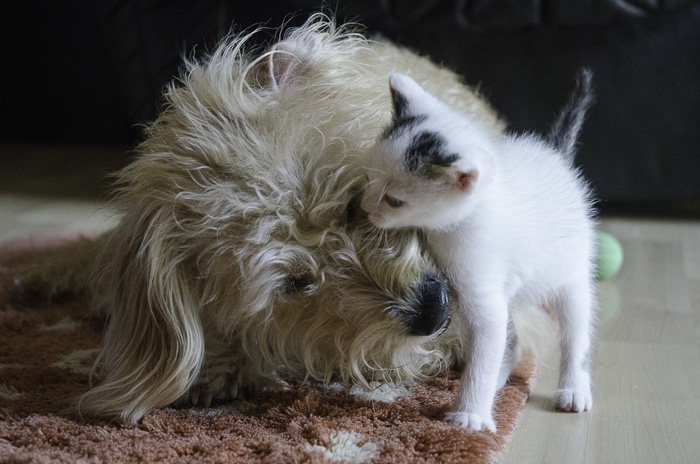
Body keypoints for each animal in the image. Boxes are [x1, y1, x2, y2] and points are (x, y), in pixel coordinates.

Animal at [360, 71, 596, 432]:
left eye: (395, 201)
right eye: (369, 178)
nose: (363, 208)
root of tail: (555, 157)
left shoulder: (480, 285)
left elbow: (485, 349)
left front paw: (469, 414)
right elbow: (495, 340)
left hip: (571, 274)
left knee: (575, 335)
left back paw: (573, 389)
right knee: (513, 338)